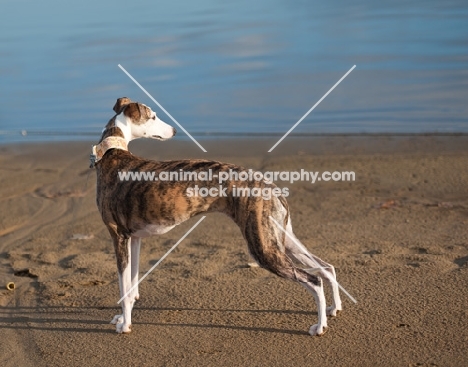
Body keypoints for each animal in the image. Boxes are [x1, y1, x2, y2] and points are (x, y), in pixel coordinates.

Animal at [91, 97, 342, 336]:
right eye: (152, 116)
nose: (174, 131)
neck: (112, 153)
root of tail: (271, 186)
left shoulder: (118, 237)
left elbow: (124, 288)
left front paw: (125, 325)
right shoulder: (134, 238)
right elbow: (131, 286)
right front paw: (123, 317)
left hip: (264, 249)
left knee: (314, 280)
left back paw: (320, 326)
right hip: (282, 239)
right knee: (326, 267)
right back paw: (334, 308)